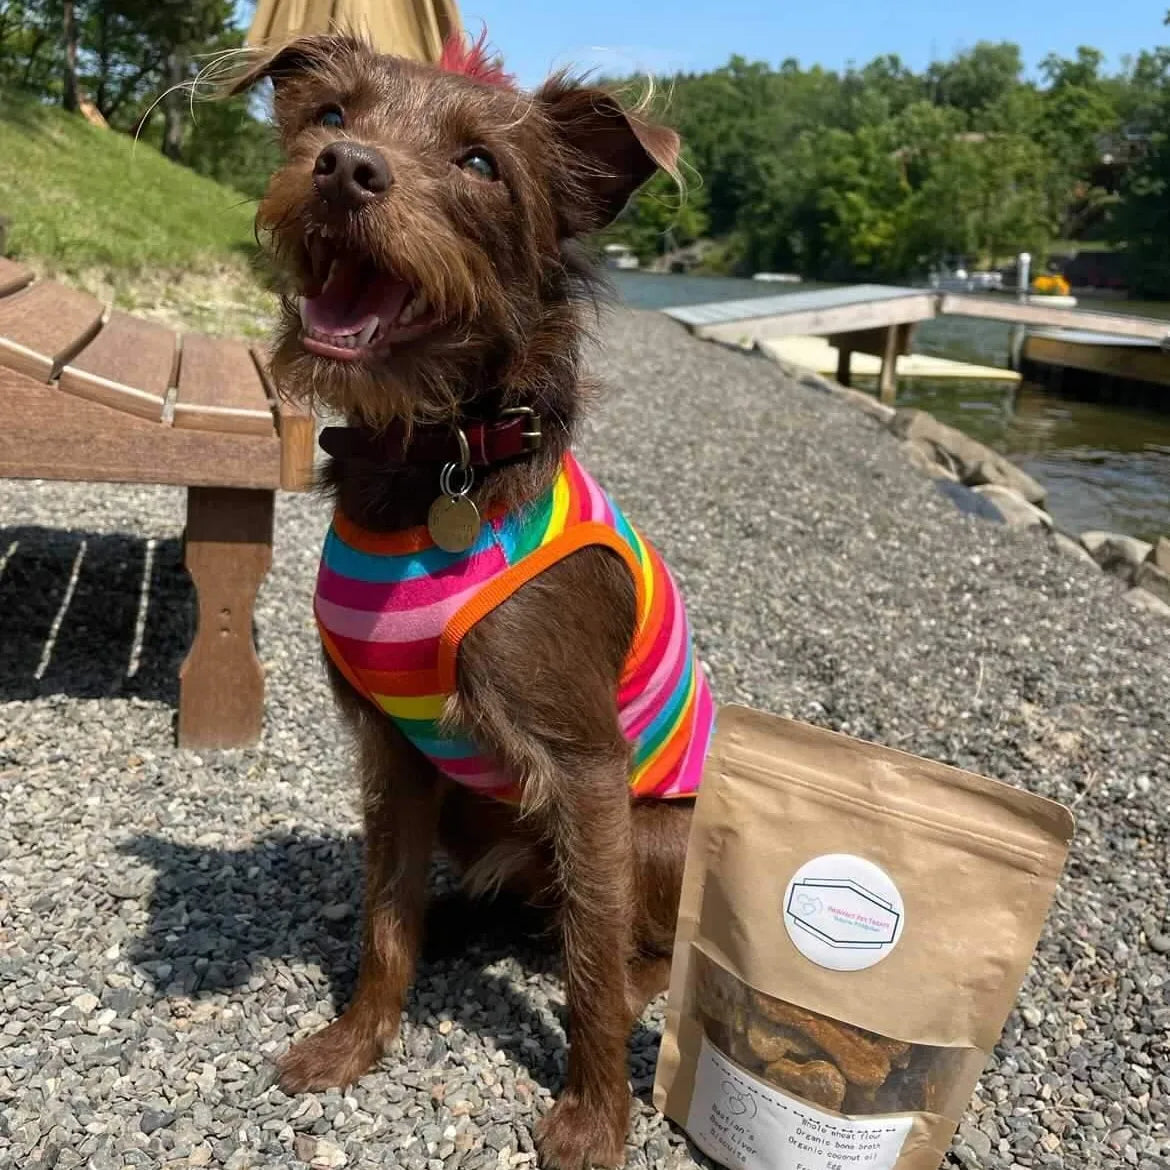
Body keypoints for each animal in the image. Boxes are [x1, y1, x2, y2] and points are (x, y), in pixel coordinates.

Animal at [235, 36, 711, 1170]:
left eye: (483, 165)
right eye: (329, 115)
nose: (345, 169)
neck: (431, 465)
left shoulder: (586, 772)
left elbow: (590, 971)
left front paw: (594, 1118)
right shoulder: (395, 752)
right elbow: (384, 916)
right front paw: (357, 1040)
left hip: (652, 832)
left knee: (620, 939)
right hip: (467, 806)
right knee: (500, 901)